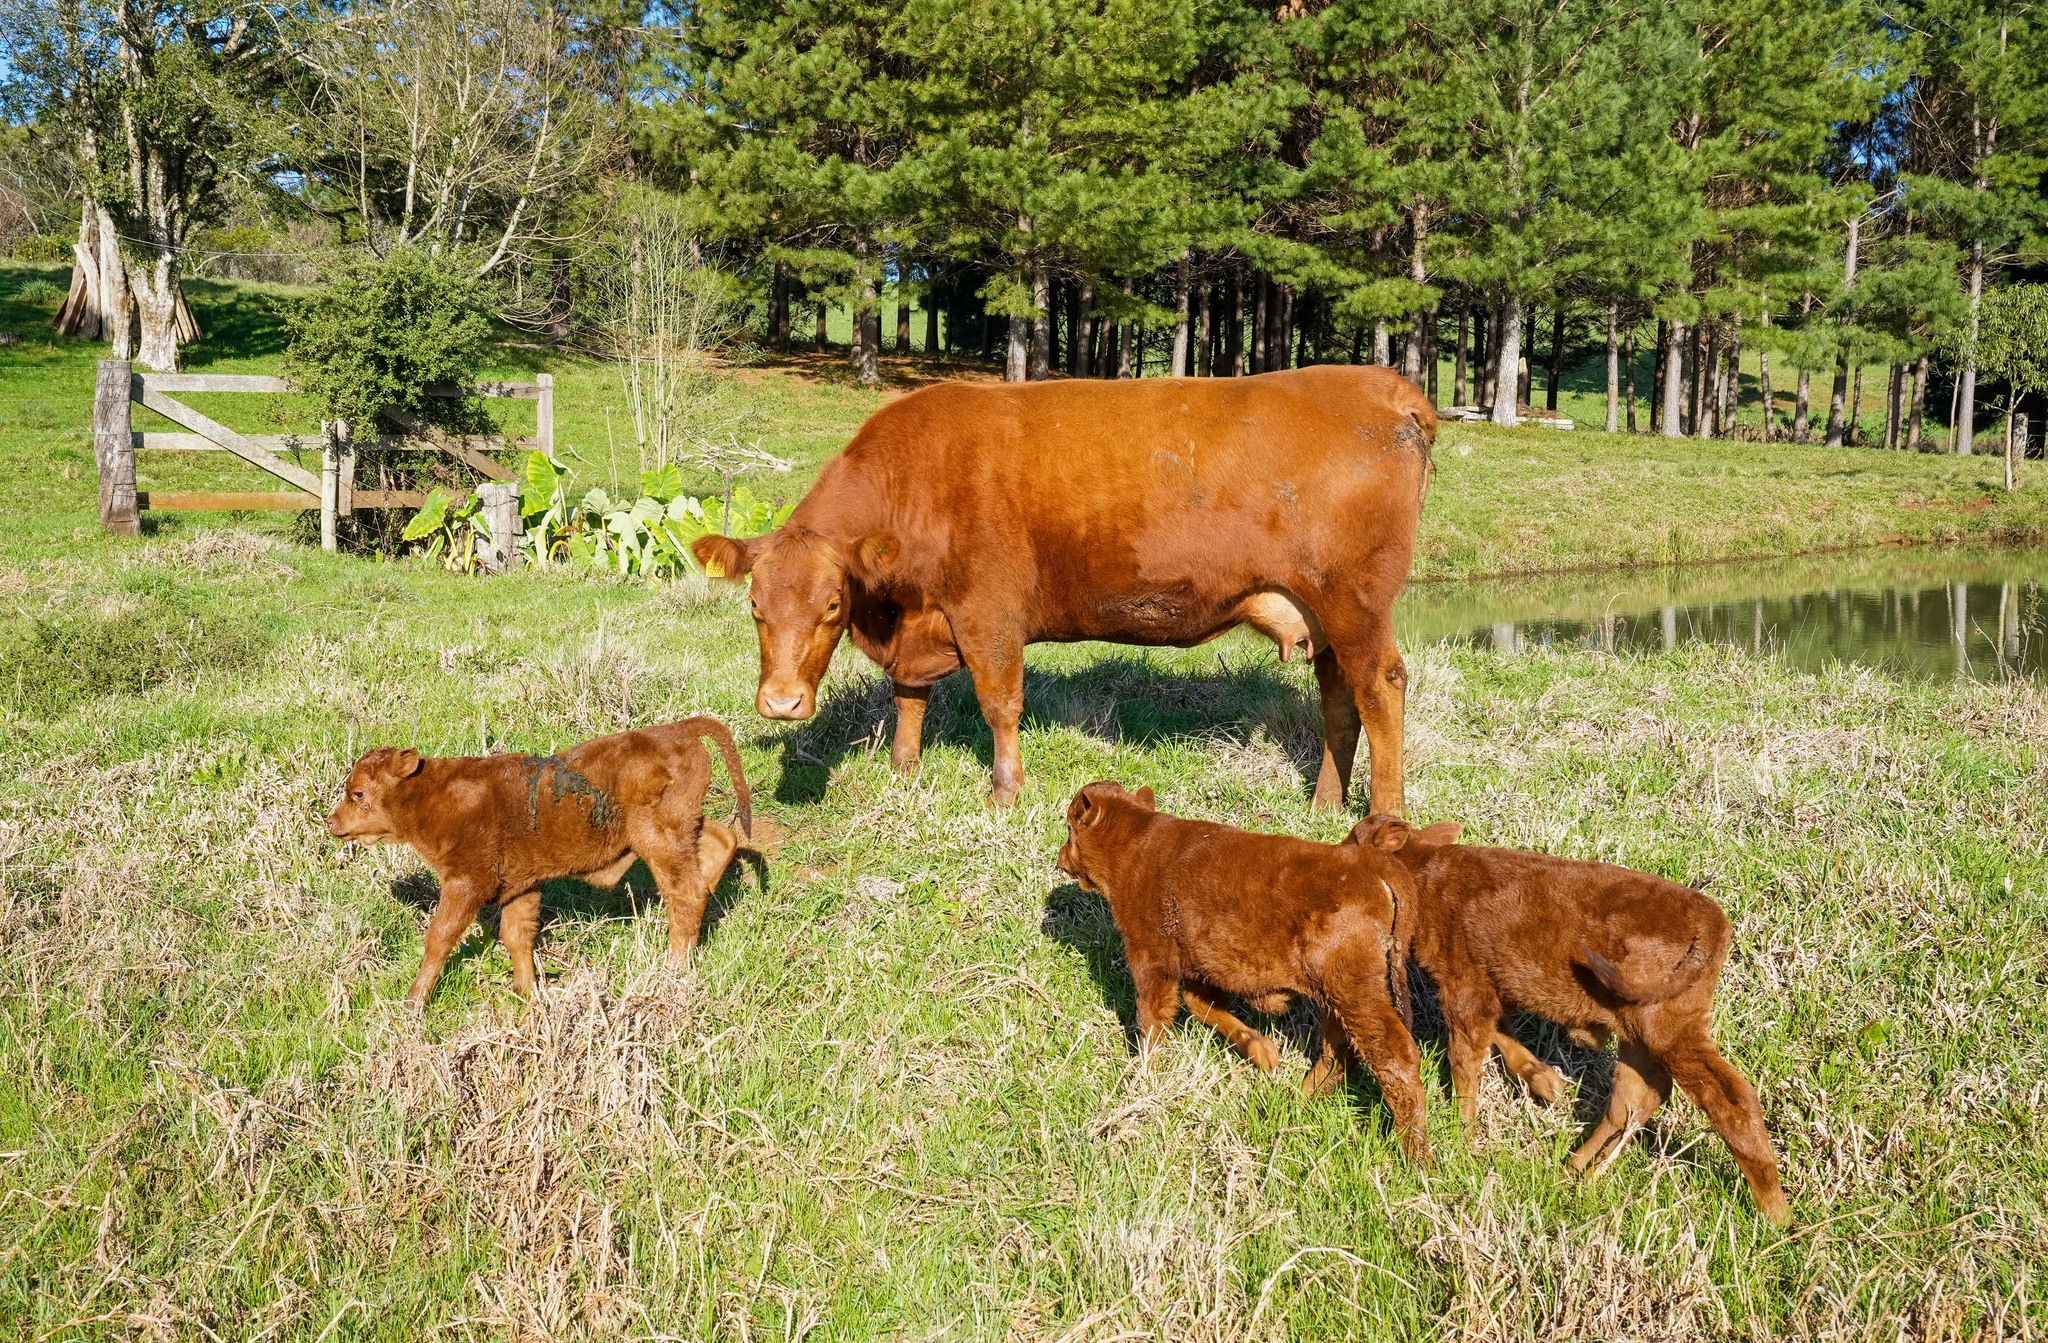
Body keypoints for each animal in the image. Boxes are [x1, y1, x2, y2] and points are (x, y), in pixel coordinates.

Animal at [696, 362, 1433, 814]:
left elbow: (999, 703)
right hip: (1323, 615)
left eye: (830, 604)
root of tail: (1382, 385)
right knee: (1339, 701)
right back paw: (1324, 804)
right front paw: (904, 768)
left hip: (1356, 603)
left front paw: (1003, 792)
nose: (781, 702)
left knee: (1380, 688)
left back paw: (1384, 816)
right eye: (754, 605)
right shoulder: (920, 624)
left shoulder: (987, 612)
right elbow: (909, 696)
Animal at [1056, 782, 1425, 1162]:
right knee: (1339, 1049)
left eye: (1070, 827)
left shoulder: (1151, 959)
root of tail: (1369, 861)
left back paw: (1415, 1155)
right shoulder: (1199, 968)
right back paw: (1300, 1098)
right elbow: (1201, 1007)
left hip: (1354, 991)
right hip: (1334, 996)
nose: (1060, 858)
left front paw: (1142, 1078)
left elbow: (1152, 1021)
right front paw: (1263, 1052)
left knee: (1393, 1054)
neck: (1136, 843)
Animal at [1351, 814, 1785, 1220]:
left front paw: (1464, 1136)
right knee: (1635, 1097)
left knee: (1729, 1099)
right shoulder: (1492, 989)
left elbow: (1464, 1060)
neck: (1426, 871)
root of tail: (1710, 917)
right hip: (1640, 1035)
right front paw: (1548, 1085)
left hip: (1669, 1030)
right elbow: (1501, 1036)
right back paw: (1576, 1169)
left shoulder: (1463, 987)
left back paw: (1774, 1211)